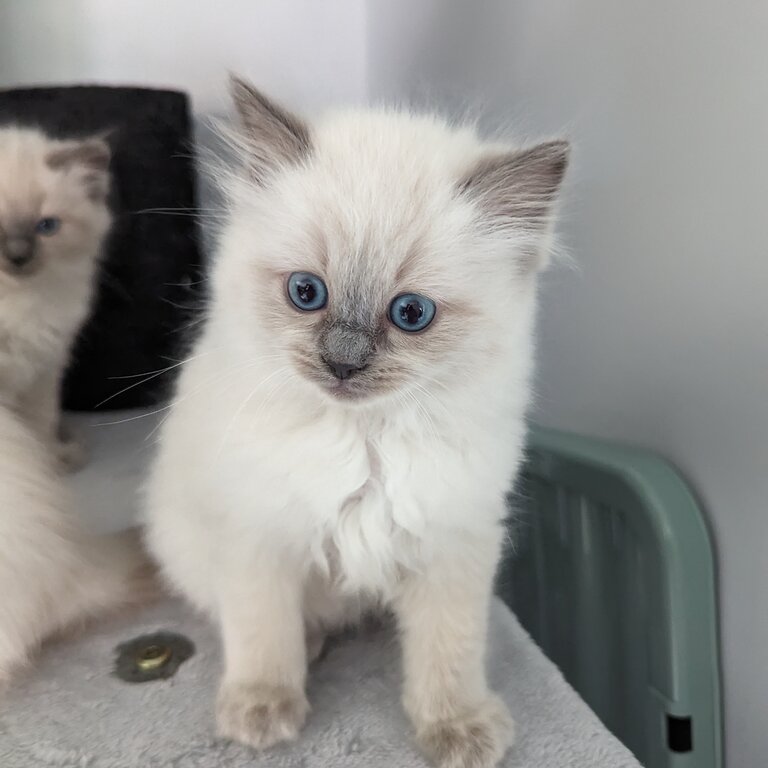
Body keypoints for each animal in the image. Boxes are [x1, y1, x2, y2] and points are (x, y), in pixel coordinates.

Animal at [144, 79, 568, 768]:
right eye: (306, 293)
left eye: (411, 313)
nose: (342, 363)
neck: (364, 438)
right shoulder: (258, 532)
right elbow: (263, 631)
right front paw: (263, 710)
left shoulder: (452, 538)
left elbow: (448, 651)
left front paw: (458, 728)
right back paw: (310, 645)